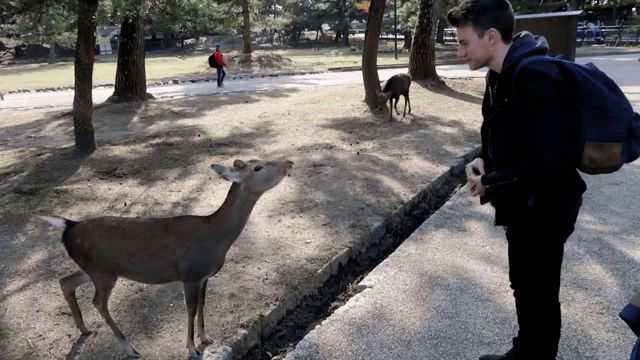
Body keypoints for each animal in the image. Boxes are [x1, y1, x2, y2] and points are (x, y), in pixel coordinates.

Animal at [37, 159, 292, 358]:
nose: (288, 163)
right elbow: (190, 309)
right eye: (258, 167)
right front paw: (192, 348)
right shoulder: (190, 274)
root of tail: (68, 228)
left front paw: (206, 338)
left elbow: (202, 305)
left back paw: (85, 328)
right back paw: (130, 348)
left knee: (66, 281)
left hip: (95, 268)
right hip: (103, 273)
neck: (215, 239)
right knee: (98, 302)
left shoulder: (205, 276)